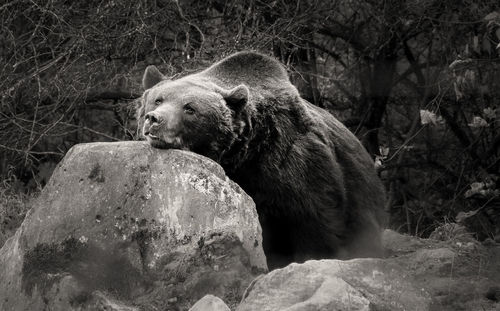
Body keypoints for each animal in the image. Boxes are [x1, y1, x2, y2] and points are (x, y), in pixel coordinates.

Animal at [137, 51, 386, 270]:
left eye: (190, 108)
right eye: (158, 99)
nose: (155, 119)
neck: (244, 155)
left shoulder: (295, 164)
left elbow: (317, 220)